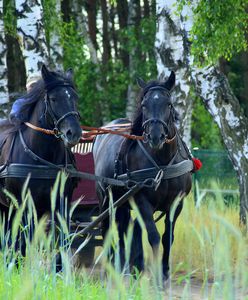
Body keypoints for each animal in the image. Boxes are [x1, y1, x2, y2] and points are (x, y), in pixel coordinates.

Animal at [0, 64, 82, 258]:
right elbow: (25, 243)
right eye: (53, 98)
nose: (74, 133)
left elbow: (62, 242)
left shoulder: (61, 204)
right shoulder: (24, 205)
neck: (43, 159)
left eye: (74, 97)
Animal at [94, 71, 193, 280]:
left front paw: (164, 272)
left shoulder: (177, 203)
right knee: (108, 228)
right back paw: (112, 266)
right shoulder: (142, 200)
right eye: (144, 105)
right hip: (106, 198)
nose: (155, 136)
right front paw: (155, 275)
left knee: (126, 228)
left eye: (168, 104)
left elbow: (167, 237)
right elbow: (153, 236)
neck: (162, 163)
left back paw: (130, 266)